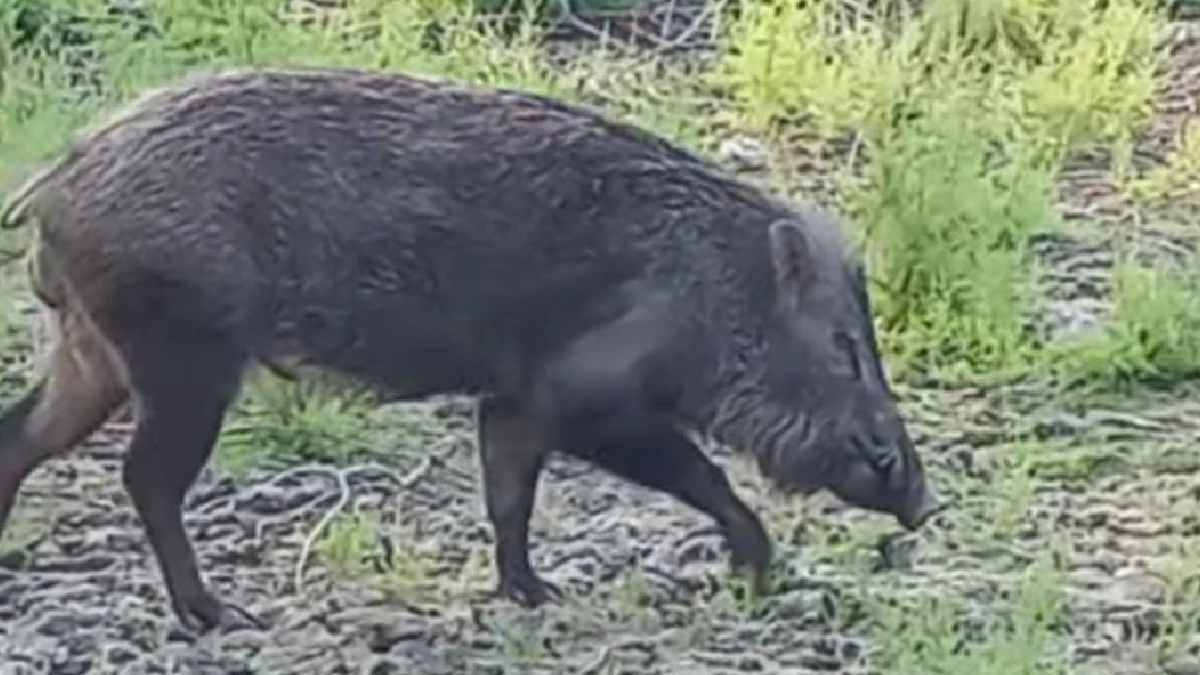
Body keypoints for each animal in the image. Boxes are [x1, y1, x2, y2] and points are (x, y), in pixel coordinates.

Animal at [0, 66, 943, 633]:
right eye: (844, 345)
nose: (924, 500)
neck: (713, 287)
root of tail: (56, 180)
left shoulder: (511, 398)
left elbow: (509, 496)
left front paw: (533, 592)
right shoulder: (584, 393)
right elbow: (693, 470)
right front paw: (757, 564)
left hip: (95, 353)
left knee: (21, 432)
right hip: (183, 355)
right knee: (145, 477)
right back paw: (218, 614)